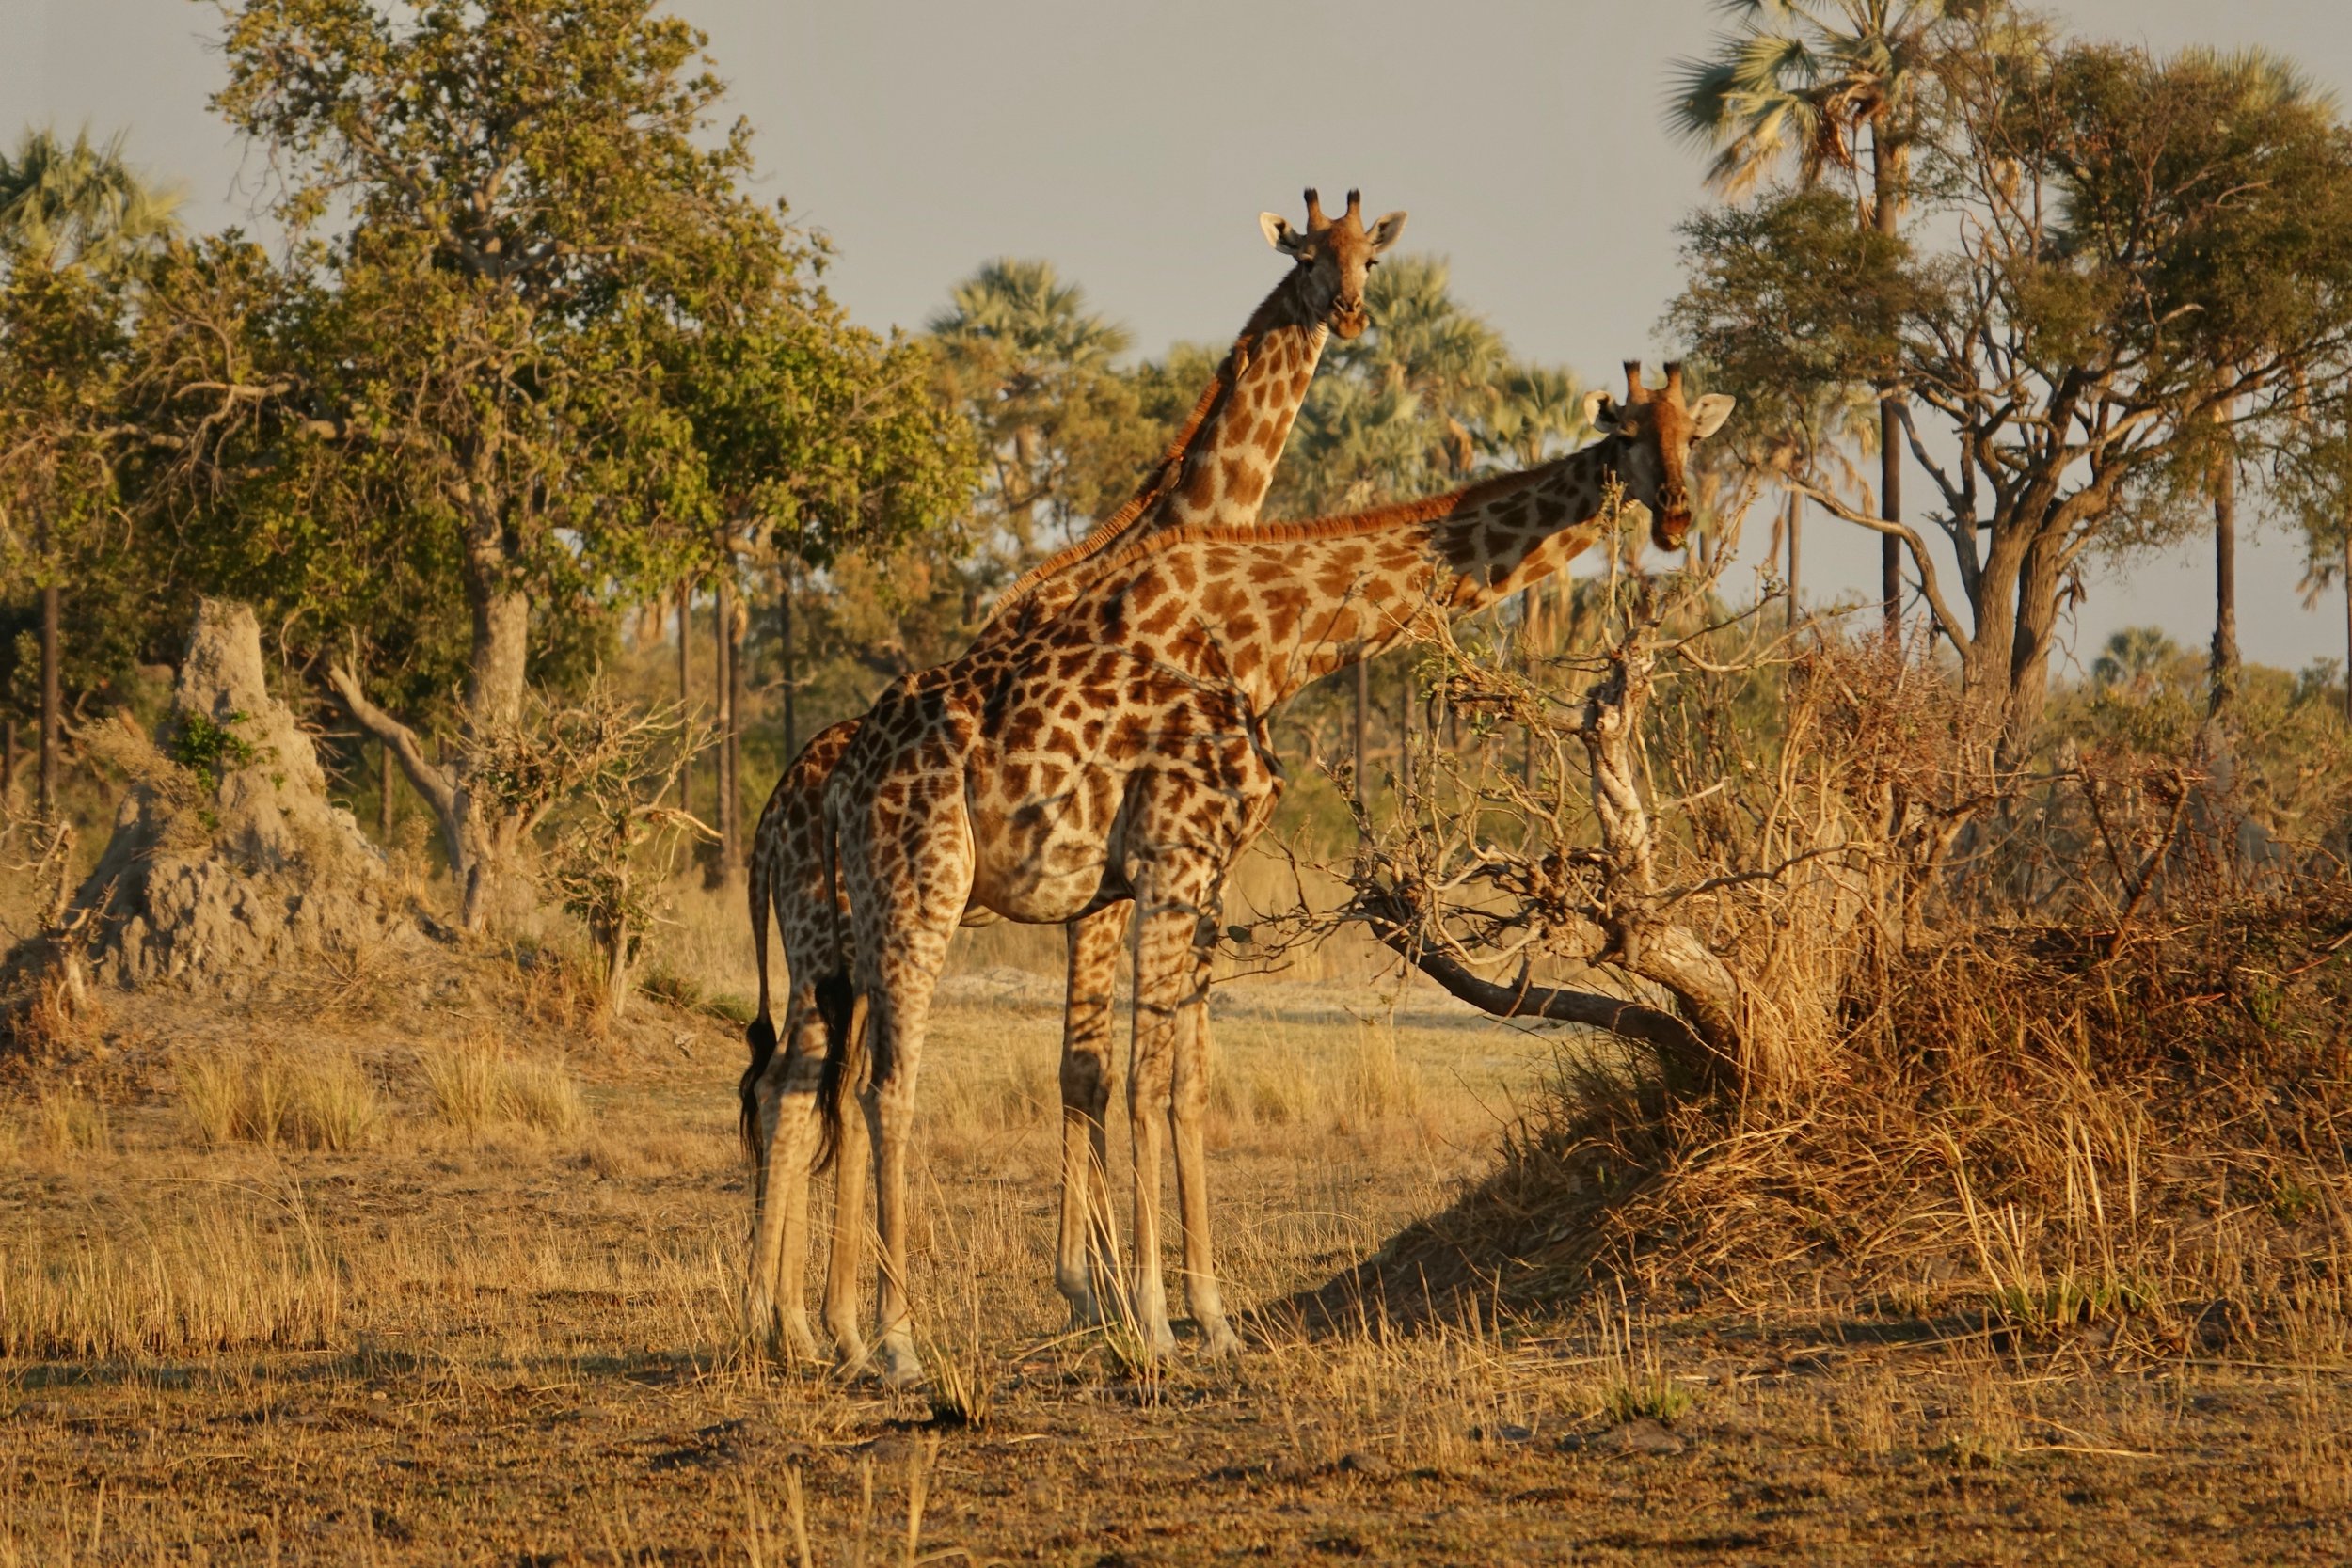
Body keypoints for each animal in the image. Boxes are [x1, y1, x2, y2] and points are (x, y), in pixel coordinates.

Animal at [818, 363, 1736, 1383]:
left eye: (1694, 437)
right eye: (1627, 435)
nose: (1676, 517)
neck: (1266, 636)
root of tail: (852, 771)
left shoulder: (1201, 874)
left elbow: (1188, 1082)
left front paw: (1209, 1319)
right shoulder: (1166, 859)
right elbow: (1140, 1077)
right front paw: (1148, 1321)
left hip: (876, 909)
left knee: (845, 1082)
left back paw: (844, 1333)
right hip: (923, 887)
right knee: (891, 1084)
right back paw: (898, 1342)